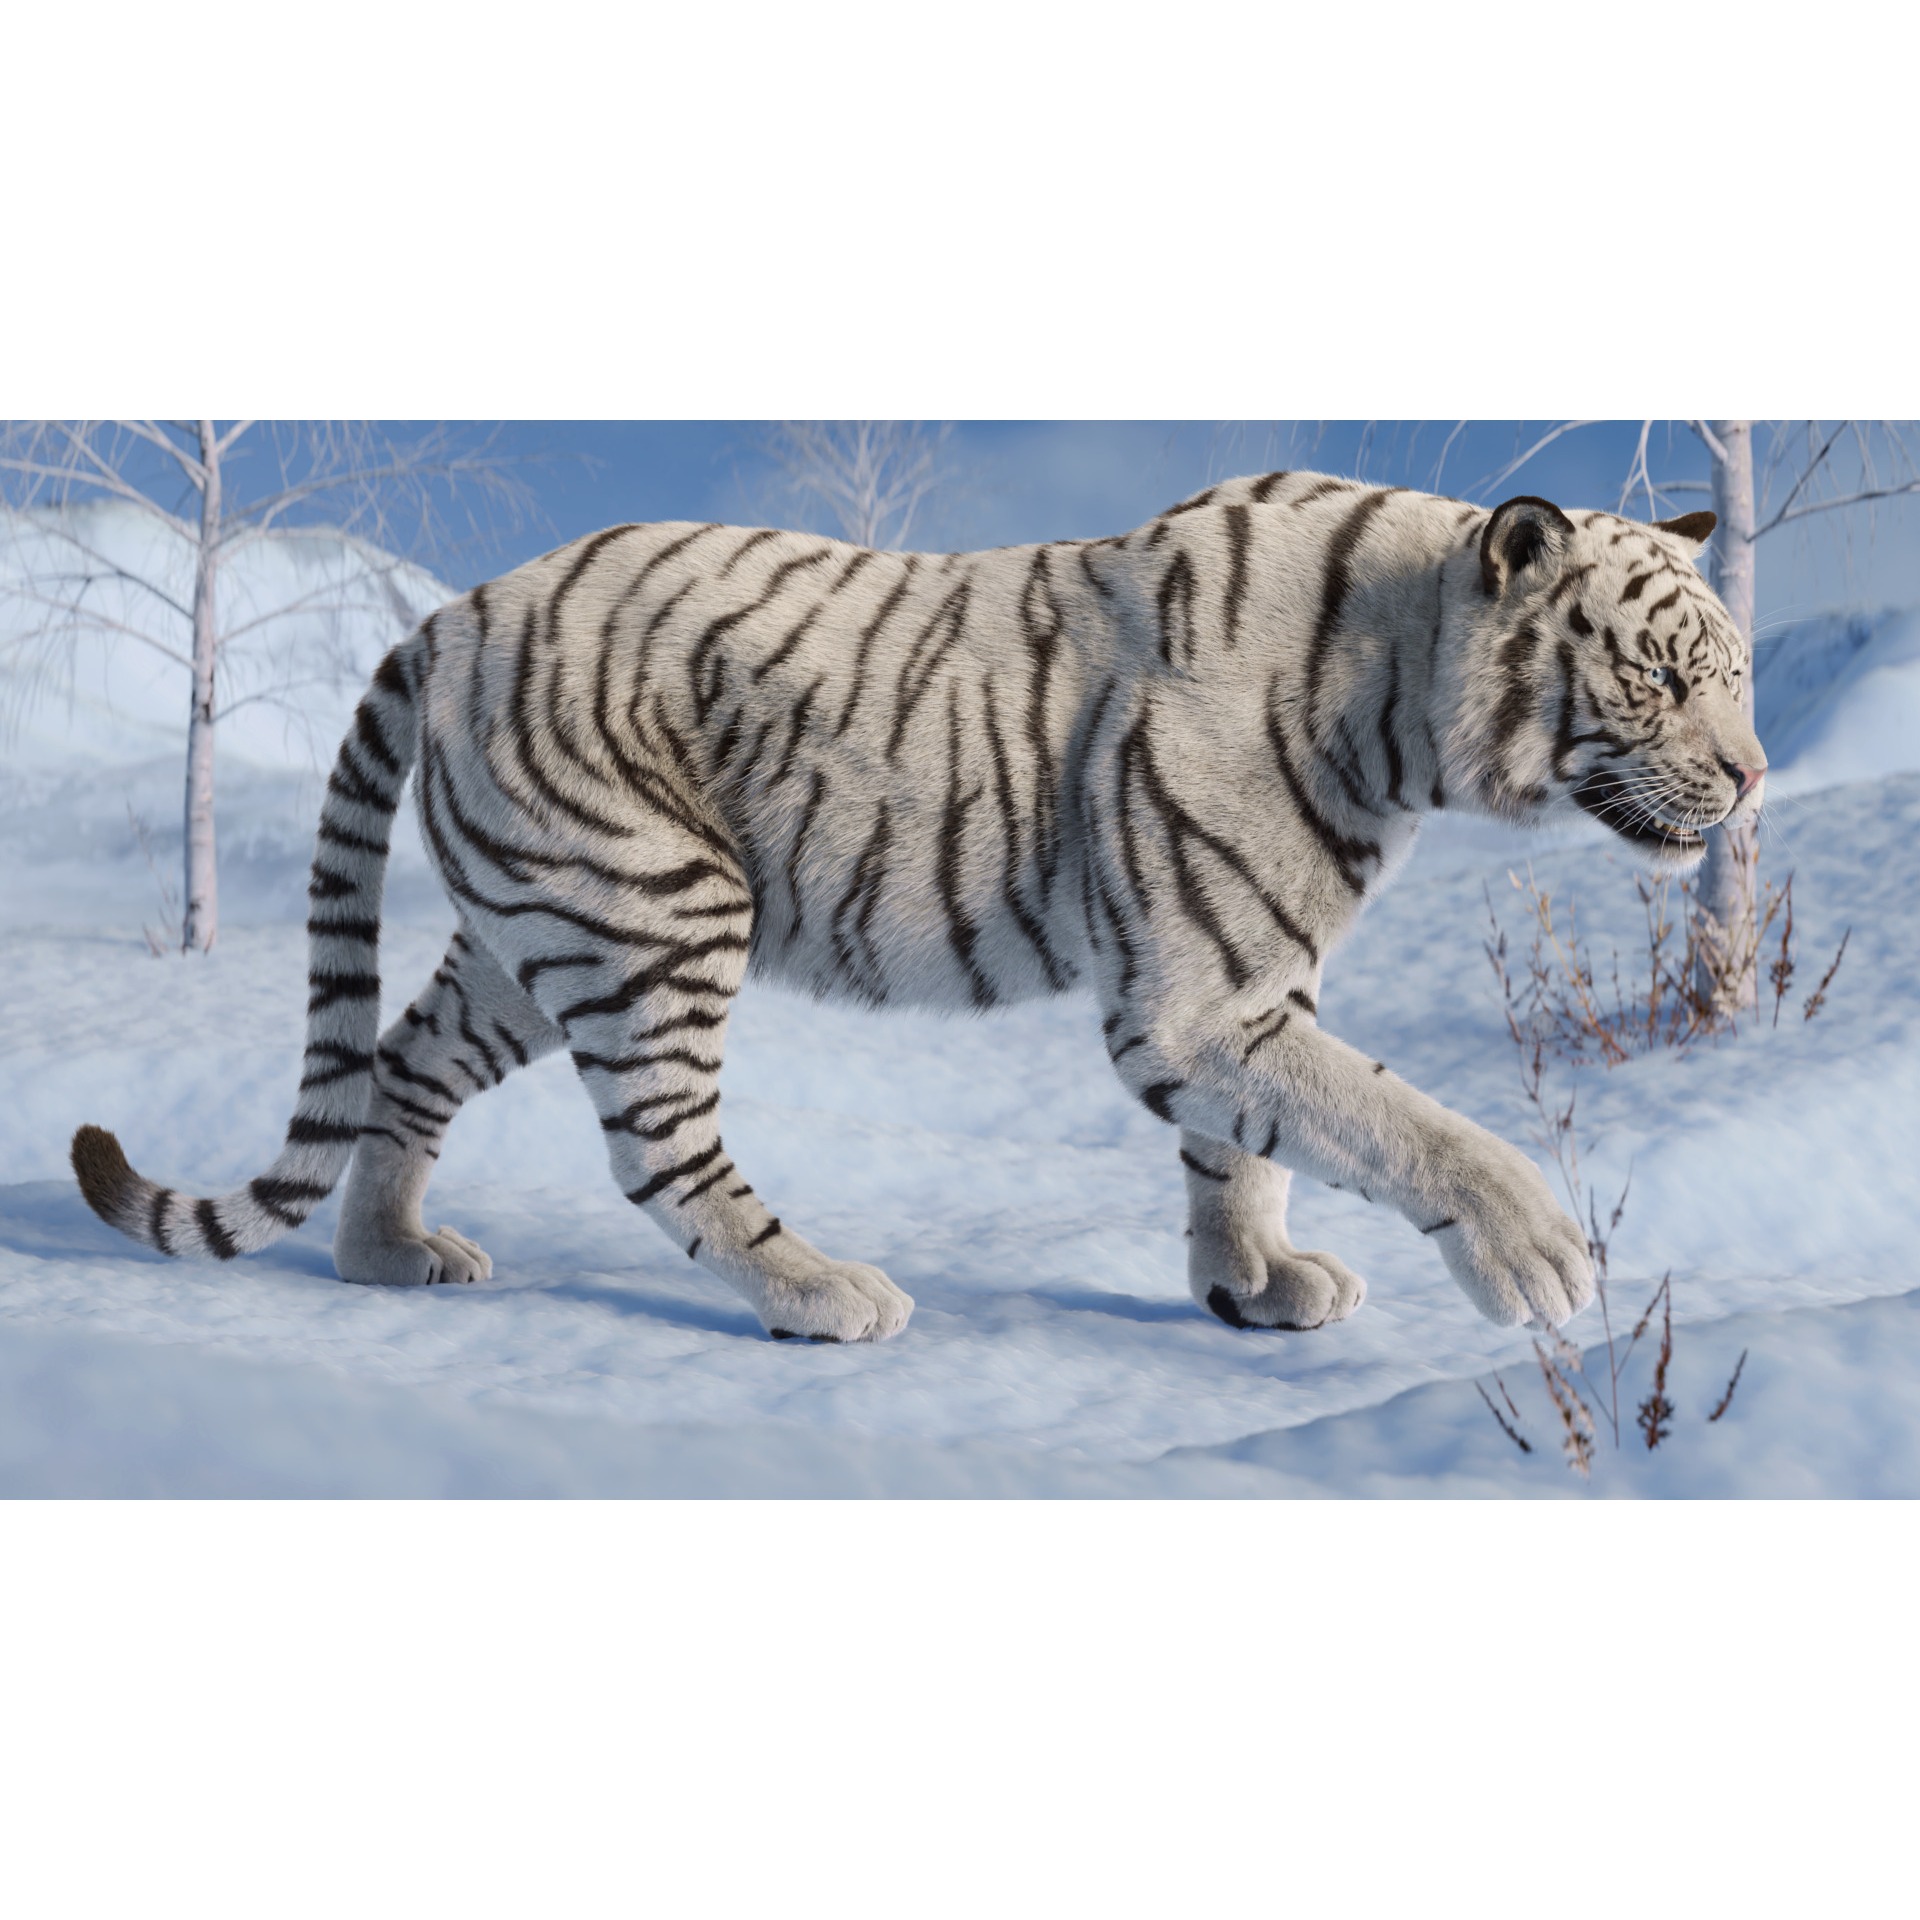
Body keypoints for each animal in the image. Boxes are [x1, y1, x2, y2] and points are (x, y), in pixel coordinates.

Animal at [70, 472, 1767, 1344]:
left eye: (1734, 676)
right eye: (1664, 674)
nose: (1753, 780)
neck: (1404, 706)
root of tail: (457, 606)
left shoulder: (1248, 980)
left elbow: (1260, 1147)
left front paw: (1252, 1286)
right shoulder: (1193, 996)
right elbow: (1398, 1119)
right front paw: (1536, 1259)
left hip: (531, 927)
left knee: (403, 1062)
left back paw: (388, 1255)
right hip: (656, 909)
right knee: (660, 1150)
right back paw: (822, 1293)